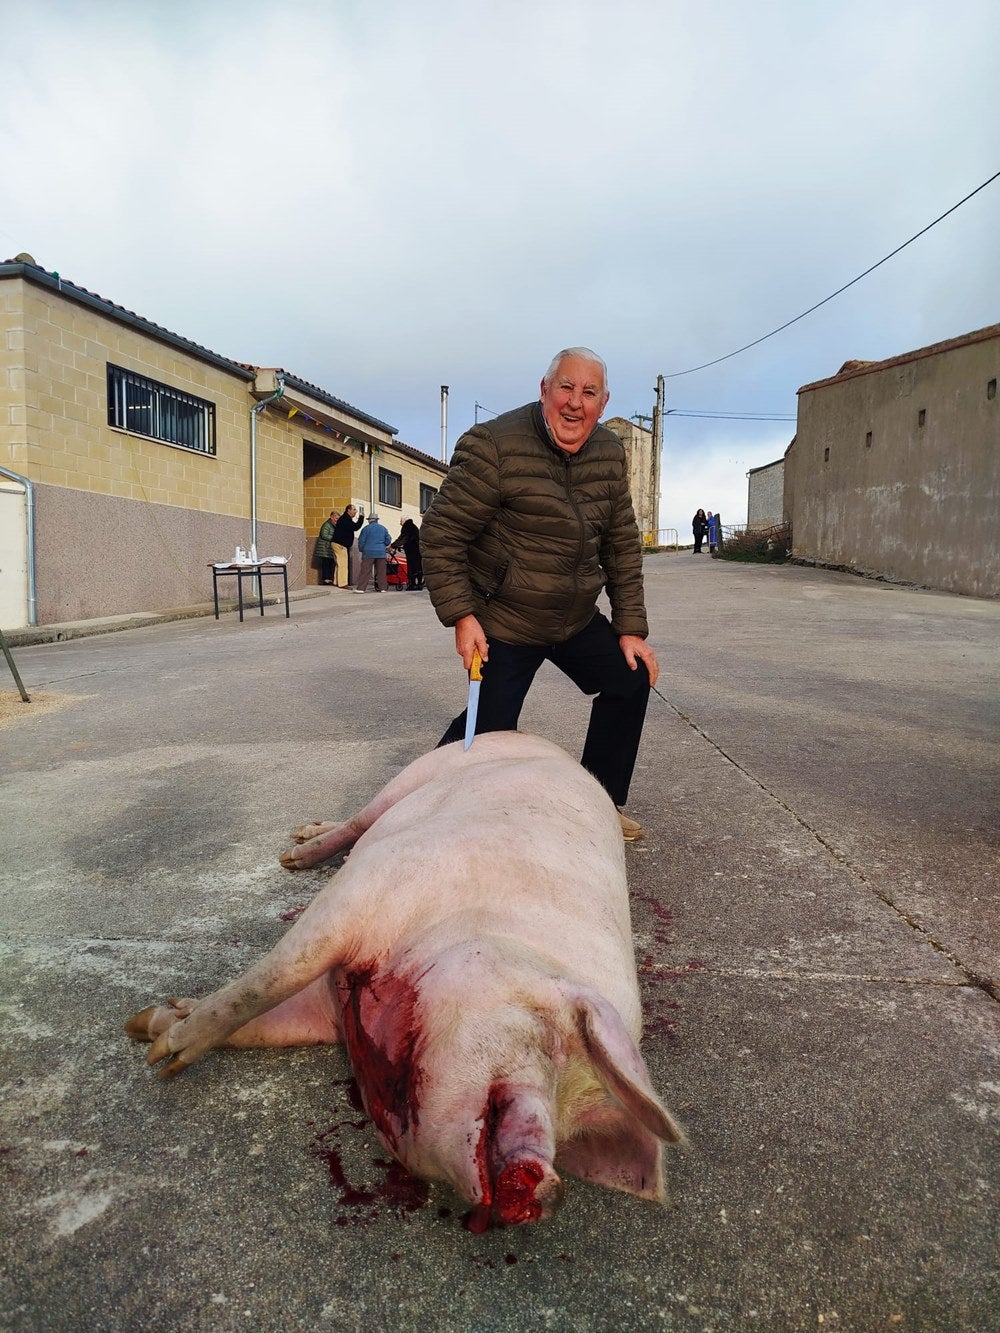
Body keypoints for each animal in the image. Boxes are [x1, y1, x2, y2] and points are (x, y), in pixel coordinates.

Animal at [127, 730, 682, 1226]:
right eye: (551, 1042)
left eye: (568, 1126)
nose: (552, 1189)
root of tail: (549, 744)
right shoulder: (371, 887)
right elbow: (268, 984)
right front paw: (161, 1056)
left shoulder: (331, 1008)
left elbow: (269, 1022)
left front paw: (149, 1025)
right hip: (420, 772)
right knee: (359, 821)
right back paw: (294, 852)